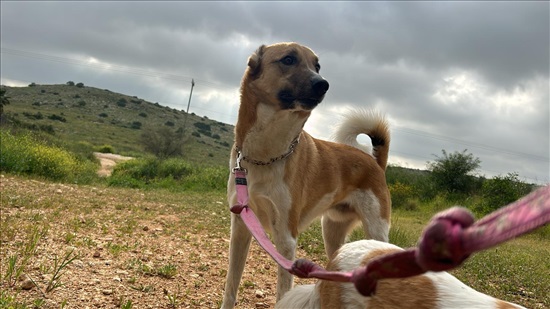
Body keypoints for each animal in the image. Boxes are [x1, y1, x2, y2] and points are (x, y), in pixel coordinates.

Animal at [222, 42, 394, 306]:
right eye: (288, 59)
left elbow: (282, 292)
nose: (323, 84)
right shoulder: (241, 228)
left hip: (376, 229)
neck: (265, 154)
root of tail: (375, 162)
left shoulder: (286, 239)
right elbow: (231, 286)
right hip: (331, 233)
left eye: (317, 65)